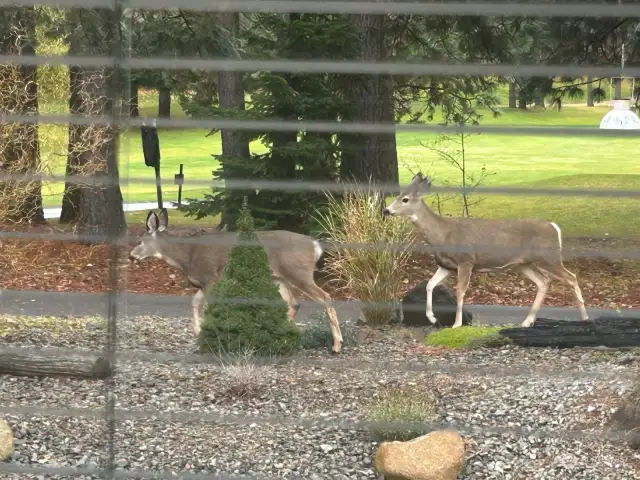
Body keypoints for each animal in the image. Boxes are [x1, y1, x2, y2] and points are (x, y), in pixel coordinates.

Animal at [126, 209, 344, 352]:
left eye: (139, 242)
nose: (130, 256)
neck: (186, 256)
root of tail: (315, 245)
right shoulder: (204, 282)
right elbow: (194, 302)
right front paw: (197, 333)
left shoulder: (210, 277)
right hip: (279, 277)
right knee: (294, 303)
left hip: (298, 272)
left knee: (325, 297)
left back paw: (336, 345)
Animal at [382, 173, 588, 330]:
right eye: (398, 197)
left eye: (405, 199)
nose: (386, 210)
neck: (443, 234)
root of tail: (555, 227)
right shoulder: (447, 265)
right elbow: (430, 285)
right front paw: (432, 317)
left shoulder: (466, 261)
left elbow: (460, 291)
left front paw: (456, 324)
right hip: (524, 264)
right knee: (544, 282)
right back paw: (527, 322)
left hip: (548, 257)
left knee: (571, 277)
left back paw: (585, 318)